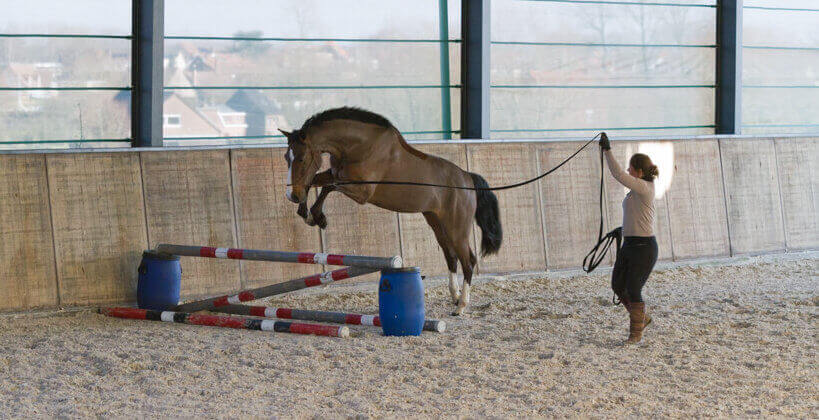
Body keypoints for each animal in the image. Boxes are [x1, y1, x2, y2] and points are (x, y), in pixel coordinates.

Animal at [278, 108, 502, 316]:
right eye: (286, 157)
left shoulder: (362, 192)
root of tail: (467, 178)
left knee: (468, 261)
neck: (359, 146)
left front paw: (318, 216)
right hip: (437, 223)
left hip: (457, 228)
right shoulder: (336, 175)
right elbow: (315, 181)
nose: (292, 195)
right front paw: (307, 213)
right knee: (451, 257)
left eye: (302, 158)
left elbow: (327, 186)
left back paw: (461, 306)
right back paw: (455, 297)